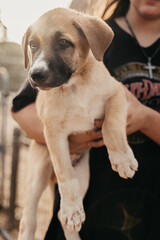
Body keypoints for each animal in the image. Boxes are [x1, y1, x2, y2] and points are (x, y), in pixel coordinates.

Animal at [17, 7, 138, 240]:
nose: (35, 75)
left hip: (84, 172)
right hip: (38, 171)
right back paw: (67, 211)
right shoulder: (53, 133)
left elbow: (111, 124)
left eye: (64, 43)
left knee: (62, 218)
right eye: (33, 45)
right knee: (29, 219)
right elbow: (66, 174)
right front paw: (72, 208)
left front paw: (122, 158)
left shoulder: (117, 94)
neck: (75, 86)